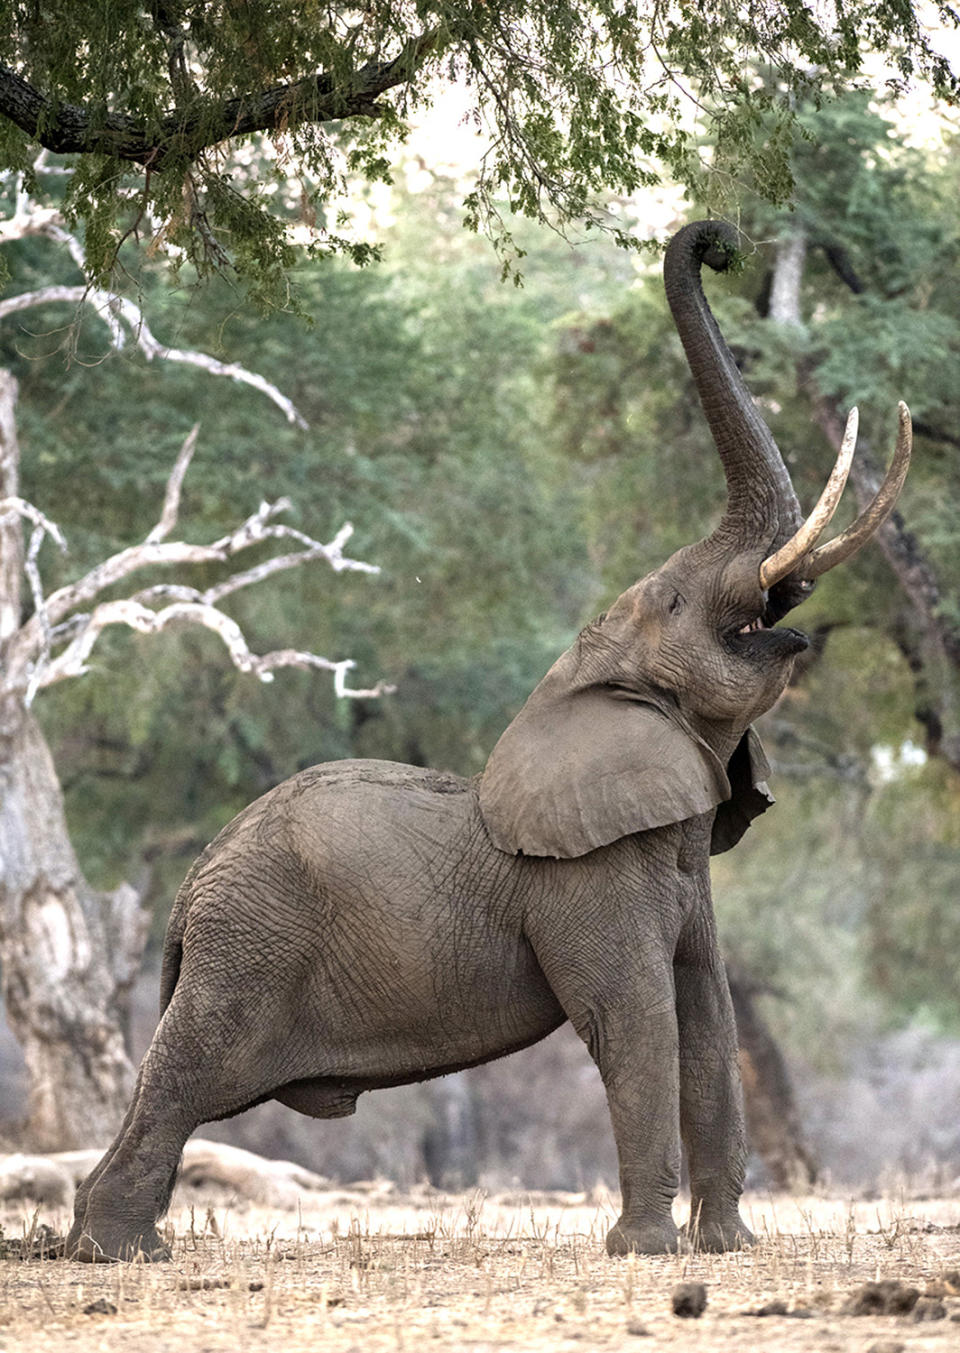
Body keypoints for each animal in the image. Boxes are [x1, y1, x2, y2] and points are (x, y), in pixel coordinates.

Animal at [65, 216, 908, 1260]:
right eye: (676, 600)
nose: (719, 240)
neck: (578, 683)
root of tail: (190, 889)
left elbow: (708, 1015)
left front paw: (729, 1248)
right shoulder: (587, 877)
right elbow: (635, 1019)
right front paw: (647, 1252)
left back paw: (97, 1241)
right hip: (247, 947)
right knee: (188, 1078)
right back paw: (121, 1251)